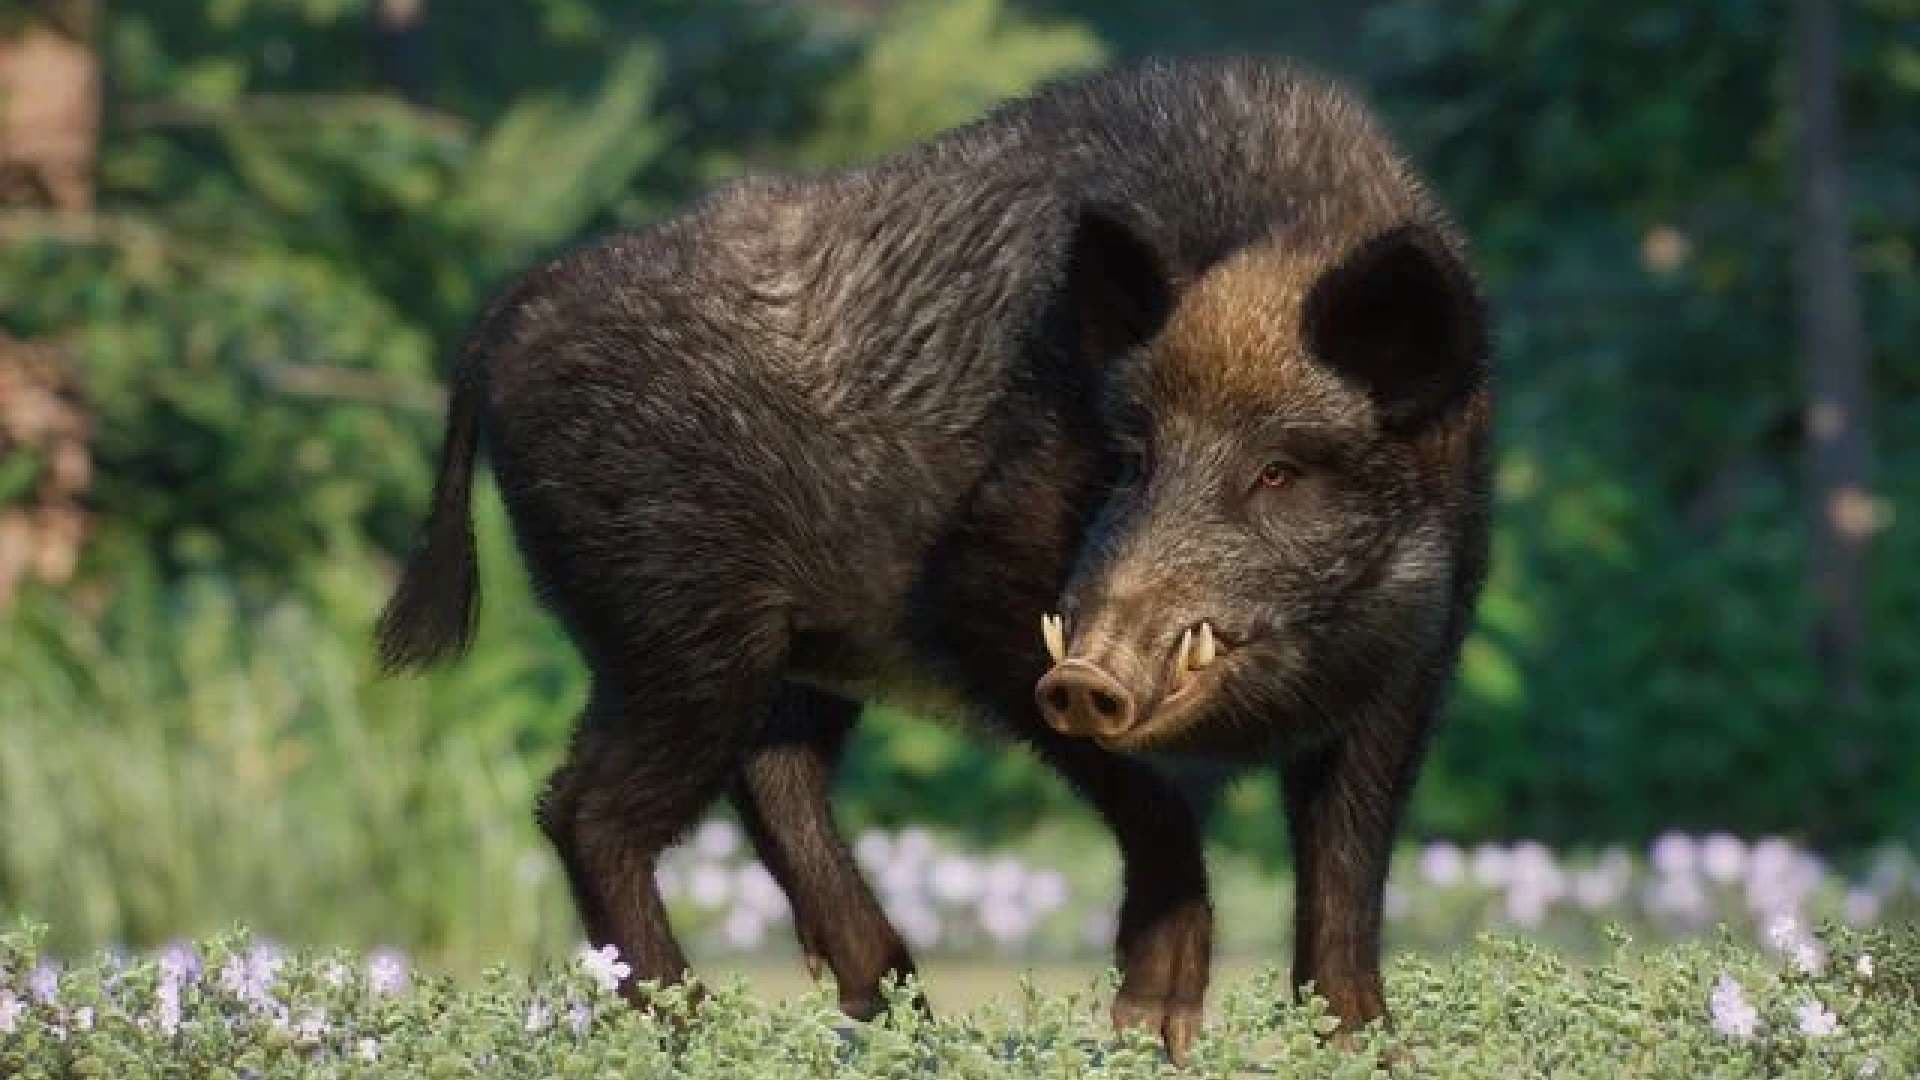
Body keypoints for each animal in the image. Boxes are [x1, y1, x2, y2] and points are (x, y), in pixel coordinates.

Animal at [376, 56, 1490, 1059]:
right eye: (1131, 454)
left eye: (1279, 470)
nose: (1091, 675)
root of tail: (517, 306)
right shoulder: (980, 595)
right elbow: (1153, 797)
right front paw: (1151, 1030)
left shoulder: (1421, 657)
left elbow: (1347, 869)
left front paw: (1365, 1047)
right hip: (672, 620)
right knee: (588, 808)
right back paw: (699, 1031)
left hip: (773, 648)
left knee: (765, 778)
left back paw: (897, 1017)